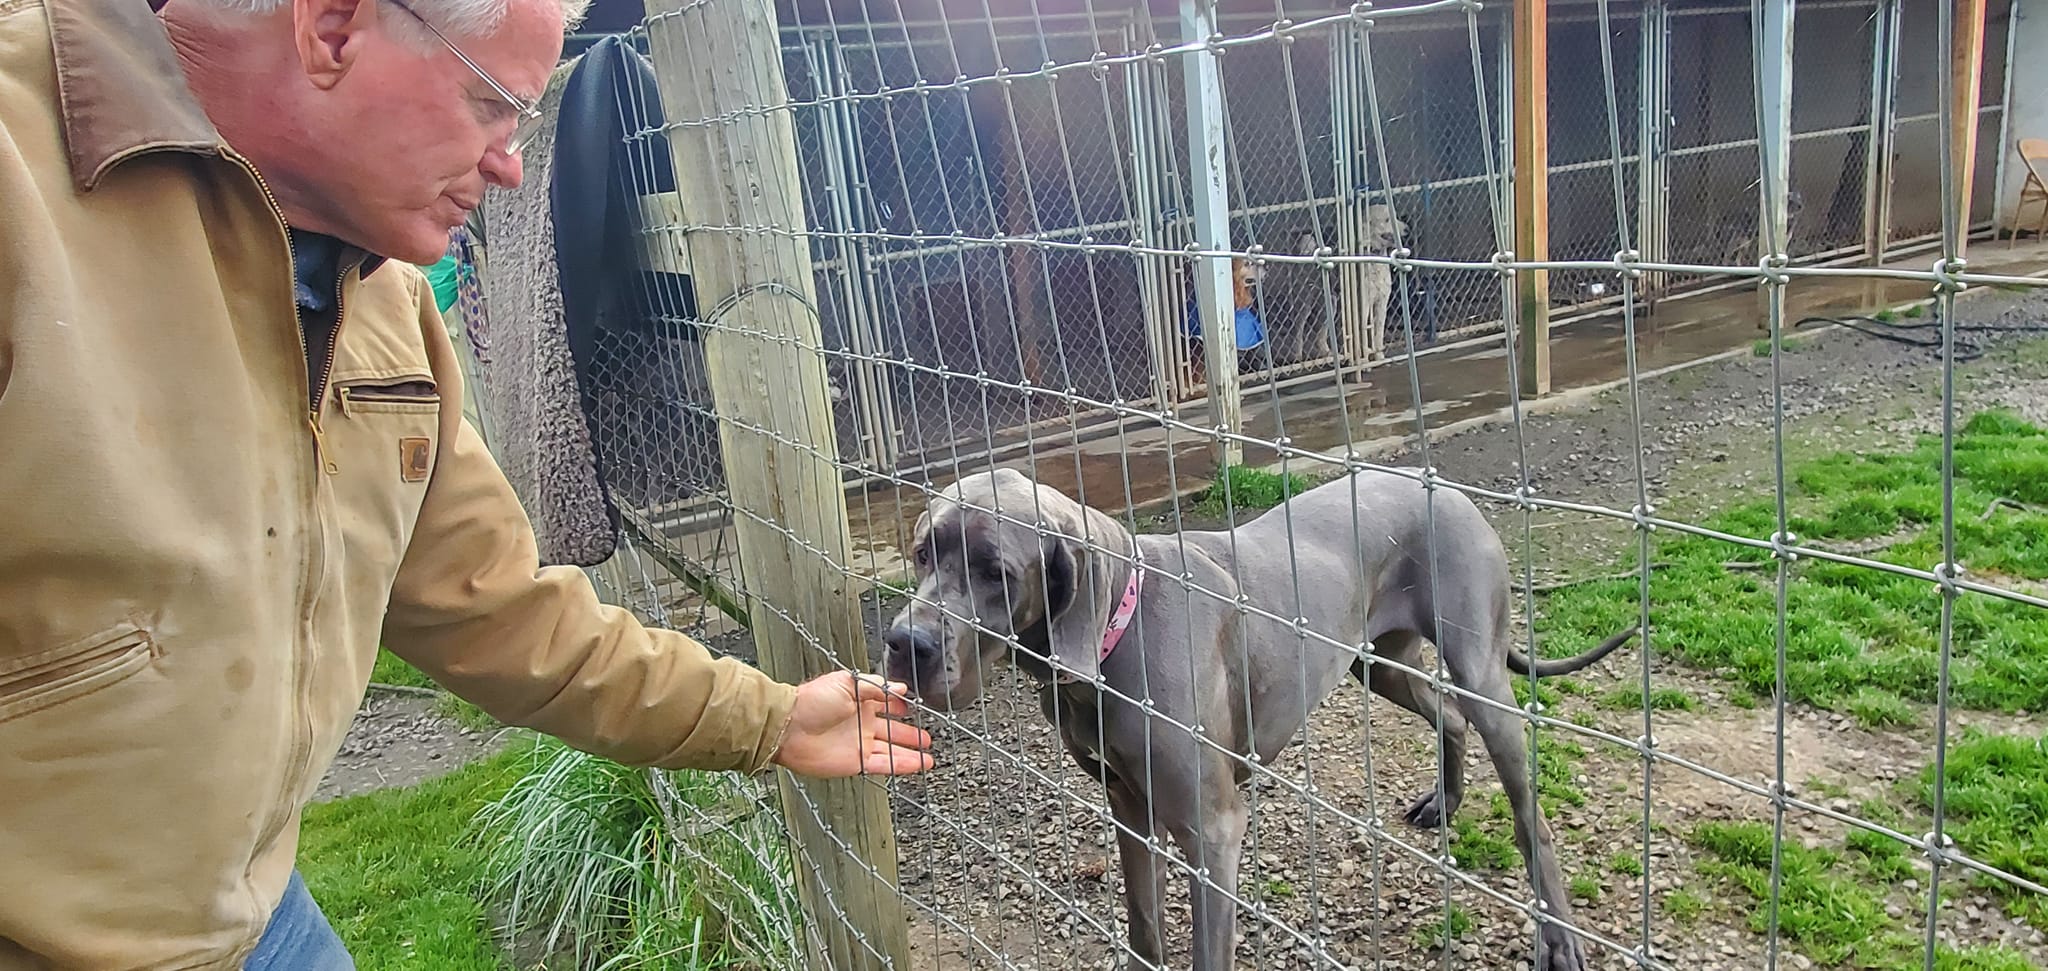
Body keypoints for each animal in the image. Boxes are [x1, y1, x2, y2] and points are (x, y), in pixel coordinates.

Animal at [881, 466, 1636, 971]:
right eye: (922, 552)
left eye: (998, 573)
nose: (904, 643)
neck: (1117, 628)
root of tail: (1444, 486)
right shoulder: (1128, 803)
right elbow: (1143, 922)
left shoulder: (1213, 829)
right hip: (1376, 661)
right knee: (1446, 715)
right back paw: (1444, 801)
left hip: (1482, 672)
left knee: (1529, 811)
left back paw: (1559, 936)